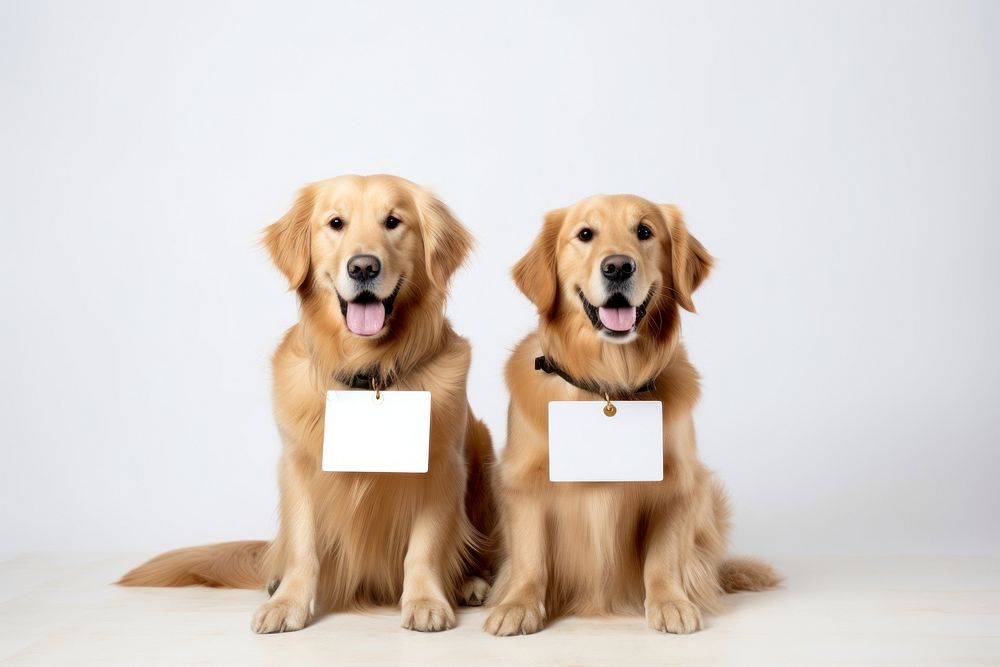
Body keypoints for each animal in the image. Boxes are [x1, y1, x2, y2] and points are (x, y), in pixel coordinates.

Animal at [120, 175, 496, 636]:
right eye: (336, 223)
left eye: (393, 222)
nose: (363, 267)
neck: (367, 370)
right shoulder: (297, 464)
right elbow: (303, 546)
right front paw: (288, 603)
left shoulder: (442, 465)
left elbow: (424, 547)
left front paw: (426, 600)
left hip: (481, 445)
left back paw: (469, 583)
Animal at [484, 194, 780, 636]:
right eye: (584, 234)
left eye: (644, 231)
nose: (618, 267)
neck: (609, 385)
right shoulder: (522, 481)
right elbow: (529, 556)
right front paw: (518, 605)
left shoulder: (679, 482)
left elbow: (663, 557)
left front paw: (670, 603)